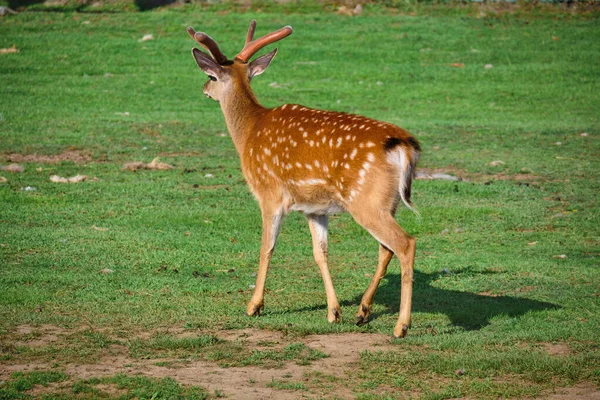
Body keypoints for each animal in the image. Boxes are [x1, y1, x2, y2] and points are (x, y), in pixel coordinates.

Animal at [189, 19, 422, 338]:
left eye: (211, 76)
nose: (203, 89)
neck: (248, 133)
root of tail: (404, 145)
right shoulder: (314, 208)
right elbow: (320, 252)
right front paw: (334, 311)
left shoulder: (269, 193)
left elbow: (266, 248)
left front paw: (254, 306)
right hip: (389, 201)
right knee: (386, 249)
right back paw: (362, 312)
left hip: (366, 200)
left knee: (405, 243)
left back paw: (401, 326)